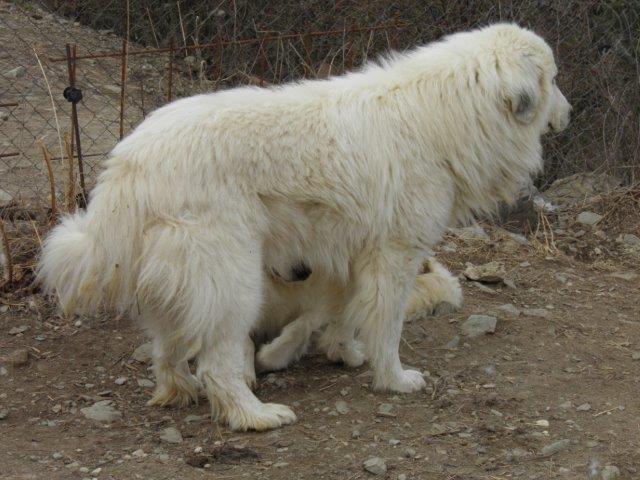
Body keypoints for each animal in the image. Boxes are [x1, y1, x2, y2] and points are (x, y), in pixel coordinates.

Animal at [38, 23, 568, 432]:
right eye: (554, 80)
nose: (568, 113)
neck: (445, 114)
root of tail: (131, 160)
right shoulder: (395, 254)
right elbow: (386, 325)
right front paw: (394, 379)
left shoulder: (350, 255)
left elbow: (343, 312)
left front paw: (343, 351)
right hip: (232, 278)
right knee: (217, 363)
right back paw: (252, 415)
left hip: (183, 278)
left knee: (168, 349)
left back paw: (179, 392)